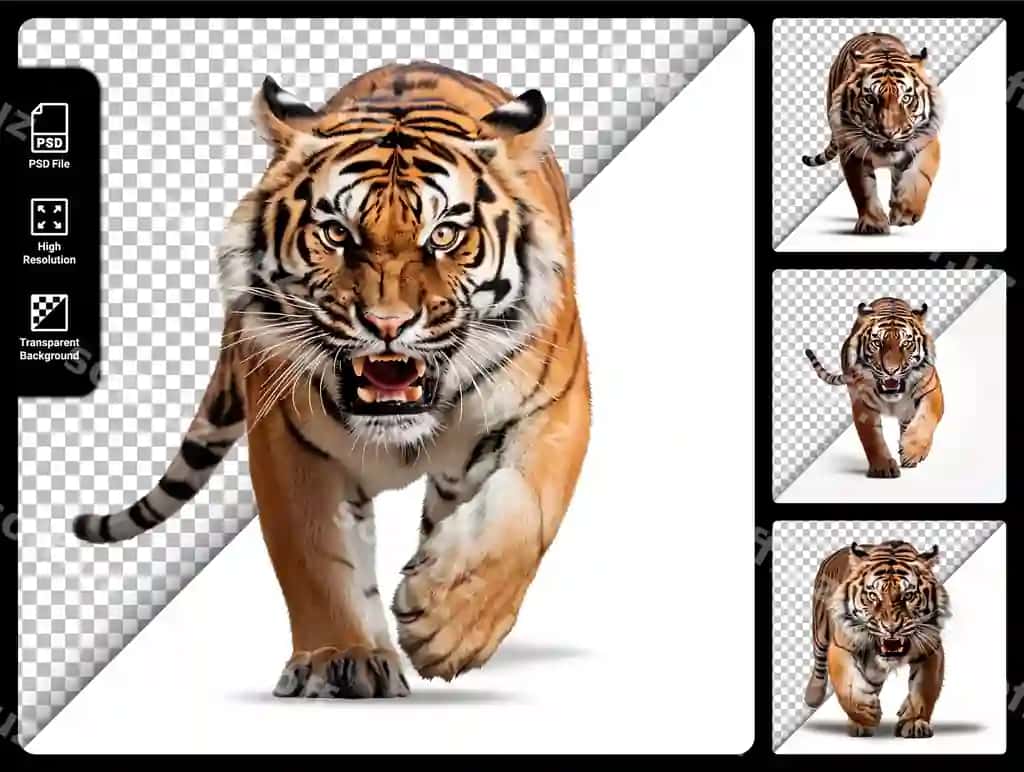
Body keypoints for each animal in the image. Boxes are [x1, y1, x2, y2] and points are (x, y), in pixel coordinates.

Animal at [70, 62, 590, 698]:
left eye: (444, 235)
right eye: (337, 234)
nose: (388, 323)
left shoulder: (556, 406)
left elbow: (521, 514)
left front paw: (446, 626)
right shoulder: (292, 442)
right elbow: (318, 557)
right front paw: (342, 660)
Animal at [801, 32, 942, 234]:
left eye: (906, 98)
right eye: (870, 99)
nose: (889, 132)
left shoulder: (926, 140)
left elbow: (920, 176)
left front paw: (905, 213)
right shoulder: (851, 149)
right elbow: (863, 188)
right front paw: (873, 224)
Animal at [804, 541, 950, 738]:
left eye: (908, 596)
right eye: (873, 596)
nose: (891, 628)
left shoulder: (930, 648)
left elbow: (924, 689)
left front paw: (914, 722)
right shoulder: (842, 646)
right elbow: (847, 687)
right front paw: (865, 718)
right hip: (820, 631)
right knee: (819, 662)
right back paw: (813, 696)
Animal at [805, 297, 943, 479]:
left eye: (906, 343)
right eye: (877, 343)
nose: (891, 370)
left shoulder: (932, 390)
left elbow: (925, 419)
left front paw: (911, 452)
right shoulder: (862, 403)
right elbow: (872, 438)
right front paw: (882, 468)